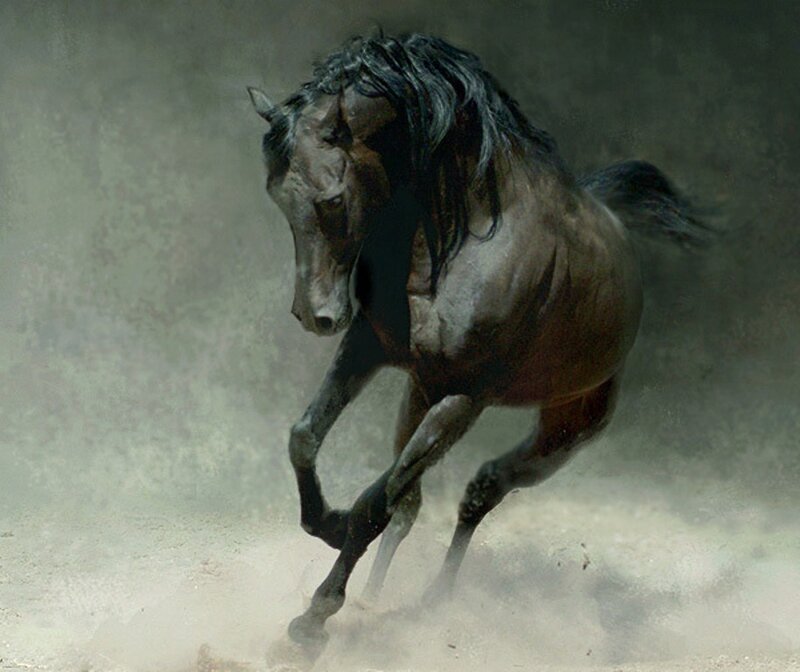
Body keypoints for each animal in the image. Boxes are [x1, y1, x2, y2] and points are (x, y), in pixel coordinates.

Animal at [247, 32, 710, 658]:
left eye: (334, 199)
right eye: (276, 194)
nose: (315, 316)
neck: (462, 235)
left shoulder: (464, 397)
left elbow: (374, 502)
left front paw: (314, 619)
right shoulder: (369, 347)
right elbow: (306, 439)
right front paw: (326, 525)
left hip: (564, 429)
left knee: (480, 491)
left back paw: (436, 603)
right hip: (418, 393)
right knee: (415, 504)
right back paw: (376, 598)